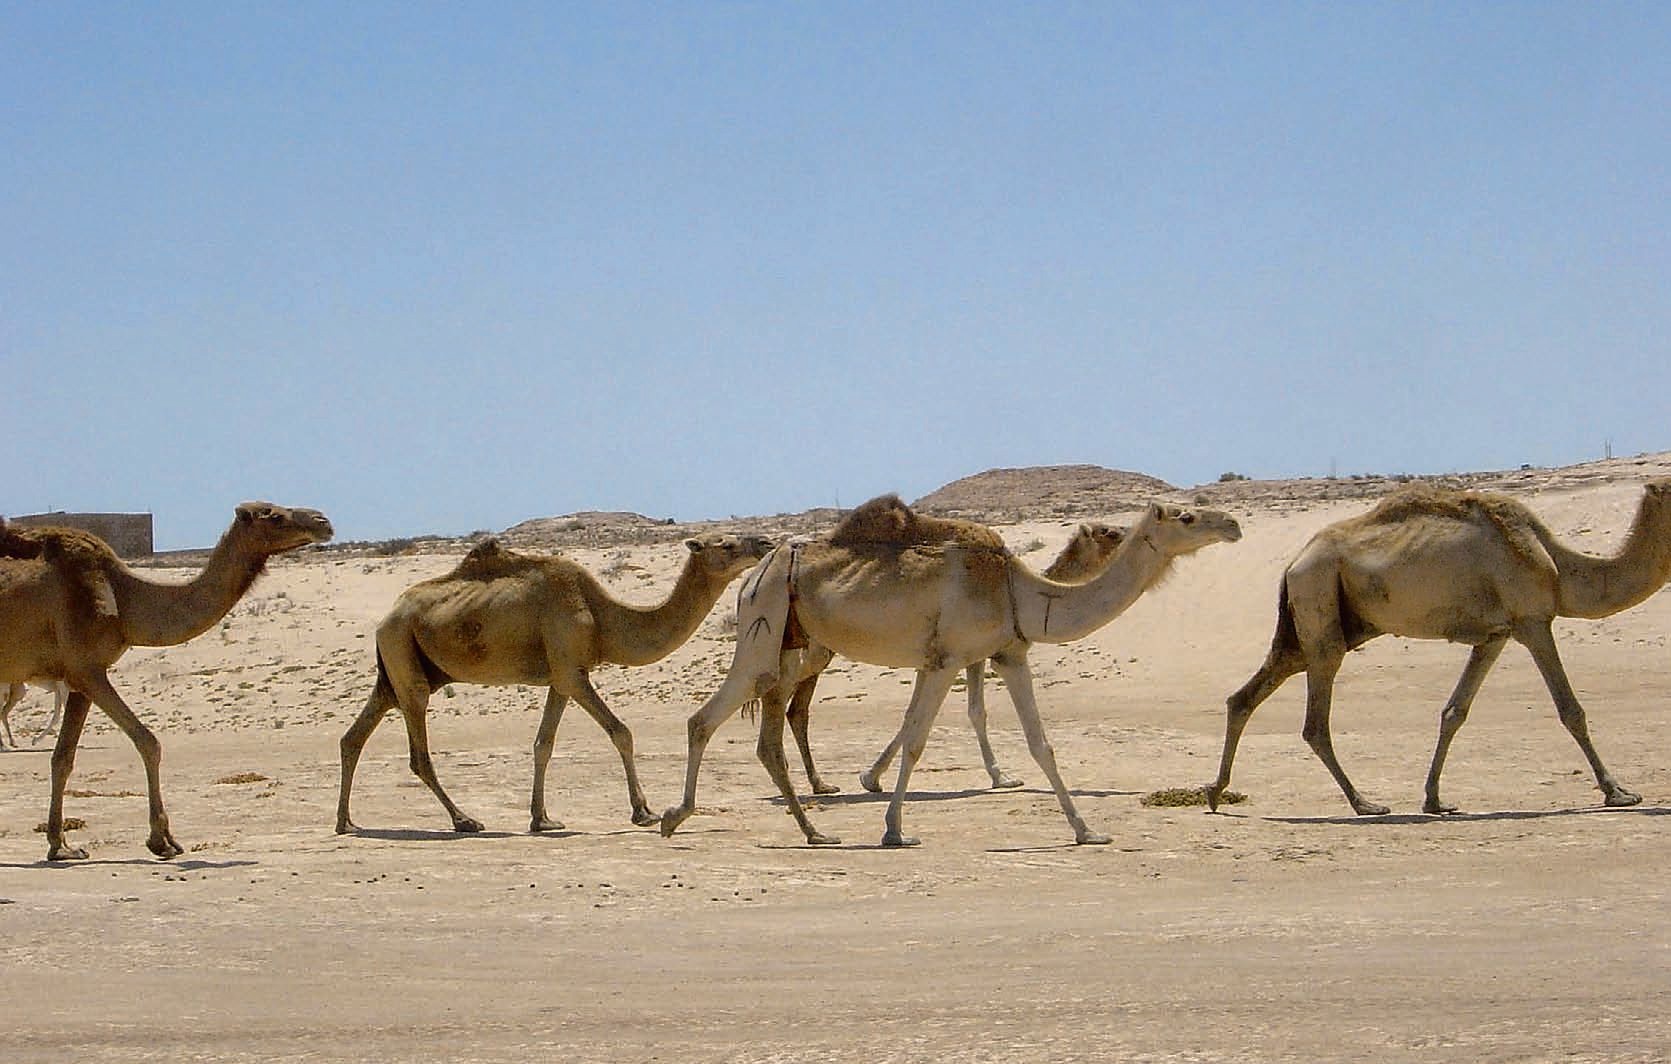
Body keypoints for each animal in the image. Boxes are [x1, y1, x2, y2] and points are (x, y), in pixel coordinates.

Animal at [0, 502, 334, 860]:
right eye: (274, 515)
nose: (323, 521)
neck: (125, 598)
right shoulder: (87, 668)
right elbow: (148, 742)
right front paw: (162, 840)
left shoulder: (78, 677)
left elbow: (63, 758)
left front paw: (61, 846)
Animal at [335, 531, 773, 836]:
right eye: (726, 544)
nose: (764, 542)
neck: (603, 617)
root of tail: (386, 618)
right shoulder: (571, 671)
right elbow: (621, 731)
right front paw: (644, 812)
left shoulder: (560, 678)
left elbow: (543, 745)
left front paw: (541, 819)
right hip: (404, 657)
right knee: (418, 750)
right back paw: (464, 821)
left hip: (394, 669)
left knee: (354, 736)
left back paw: (346, 822)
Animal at [779, 515, 1128, 795]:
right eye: (1108, 532)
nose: (1128, 531)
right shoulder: (964, 655)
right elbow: (975, 712)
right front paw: (1002, 778)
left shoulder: (942, 658)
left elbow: (913, 715)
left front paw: (871, 777)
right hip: (813, 651)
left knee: (795, 707)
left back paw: (817, 784)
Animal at [1205, 479, 1671, 816]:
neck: (1557, 567)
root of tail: (1293, 562)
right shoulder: (1533, 621)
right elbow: (1570, 709)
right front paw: (1619, 793)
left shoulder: (1495, 635)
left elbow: (1454, 713)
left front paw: (1435, 799)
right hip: (1319, 602)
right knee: (1314, 721)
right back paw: (1365, 804)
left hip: (1309, 627)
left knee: (1246, 695)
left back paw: (1215, 790)